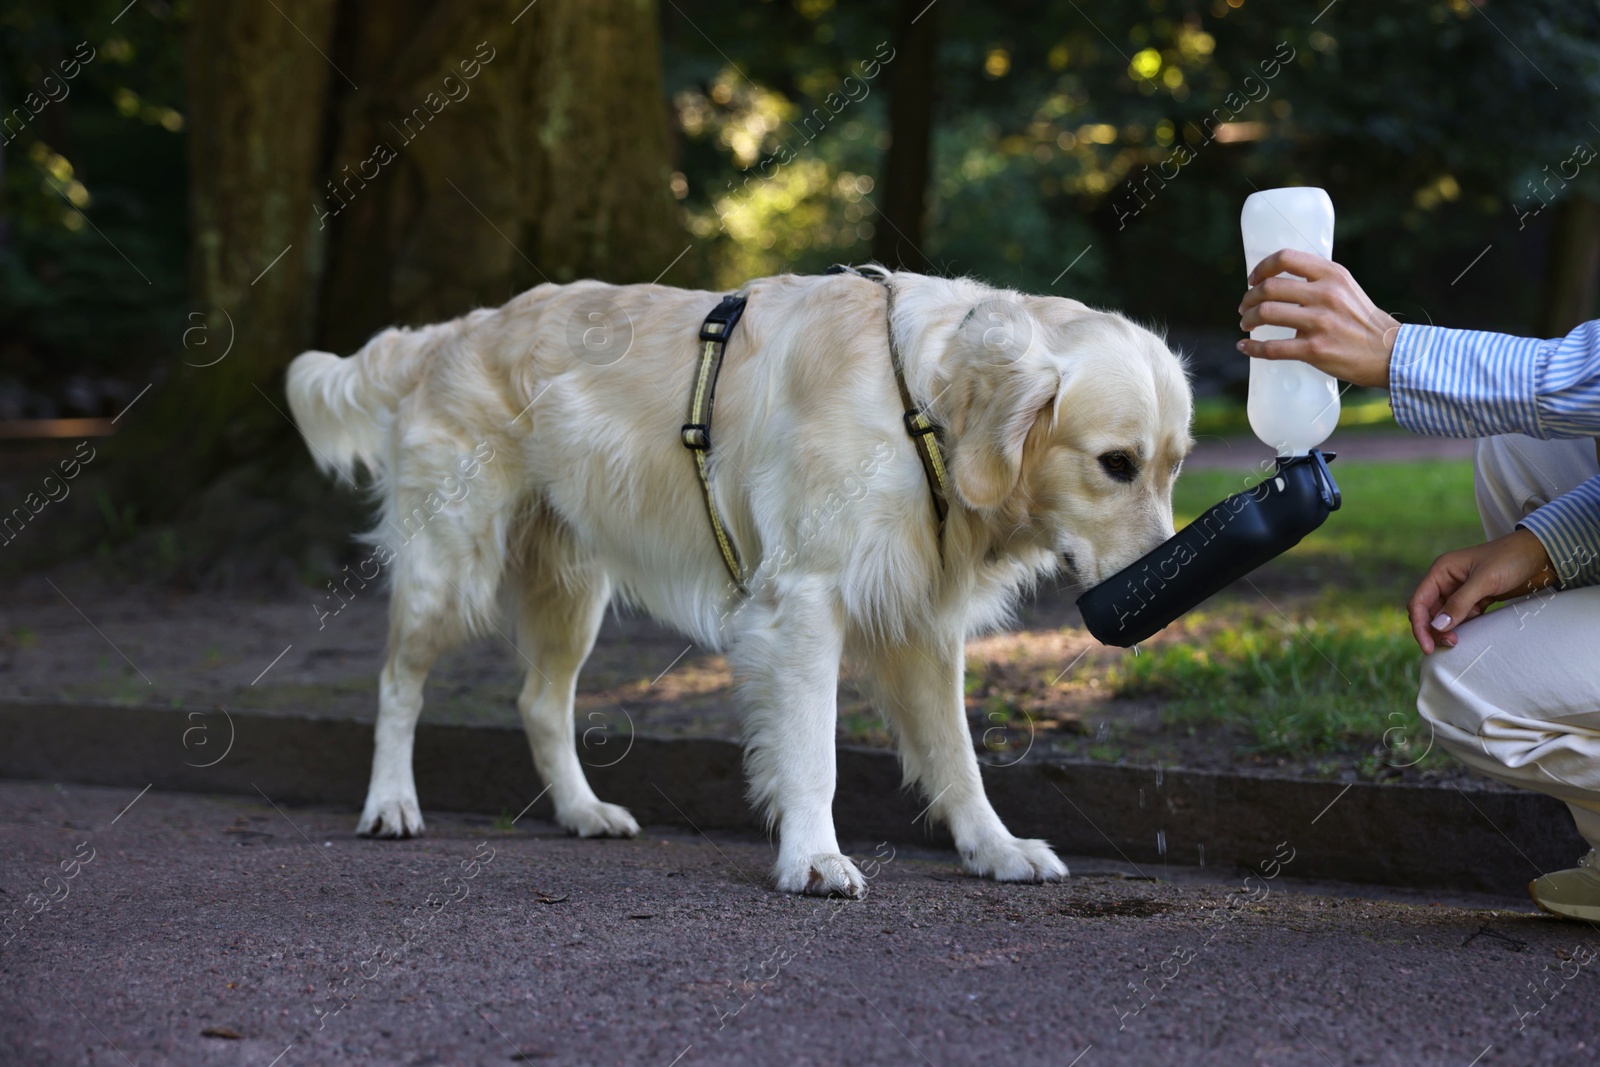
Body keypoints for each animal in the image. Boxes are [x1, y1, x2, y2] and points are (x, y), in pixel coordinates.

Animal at [284, 265, 1190, 895]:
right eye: (1115, 463)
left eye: (1175, 466)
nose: (1169, 596)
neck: (922, 407)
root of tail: (452, 331)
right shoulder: (807, 601)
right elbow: (814, 752)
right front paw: (814, 858)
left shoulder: (921, 623)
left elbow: (957, 756)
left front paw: (996, 849)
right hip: (452, 565)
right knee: (398, 680)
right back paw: (390, 804)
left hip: (570, 589)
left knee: (540, 701)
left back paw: (582, 811)